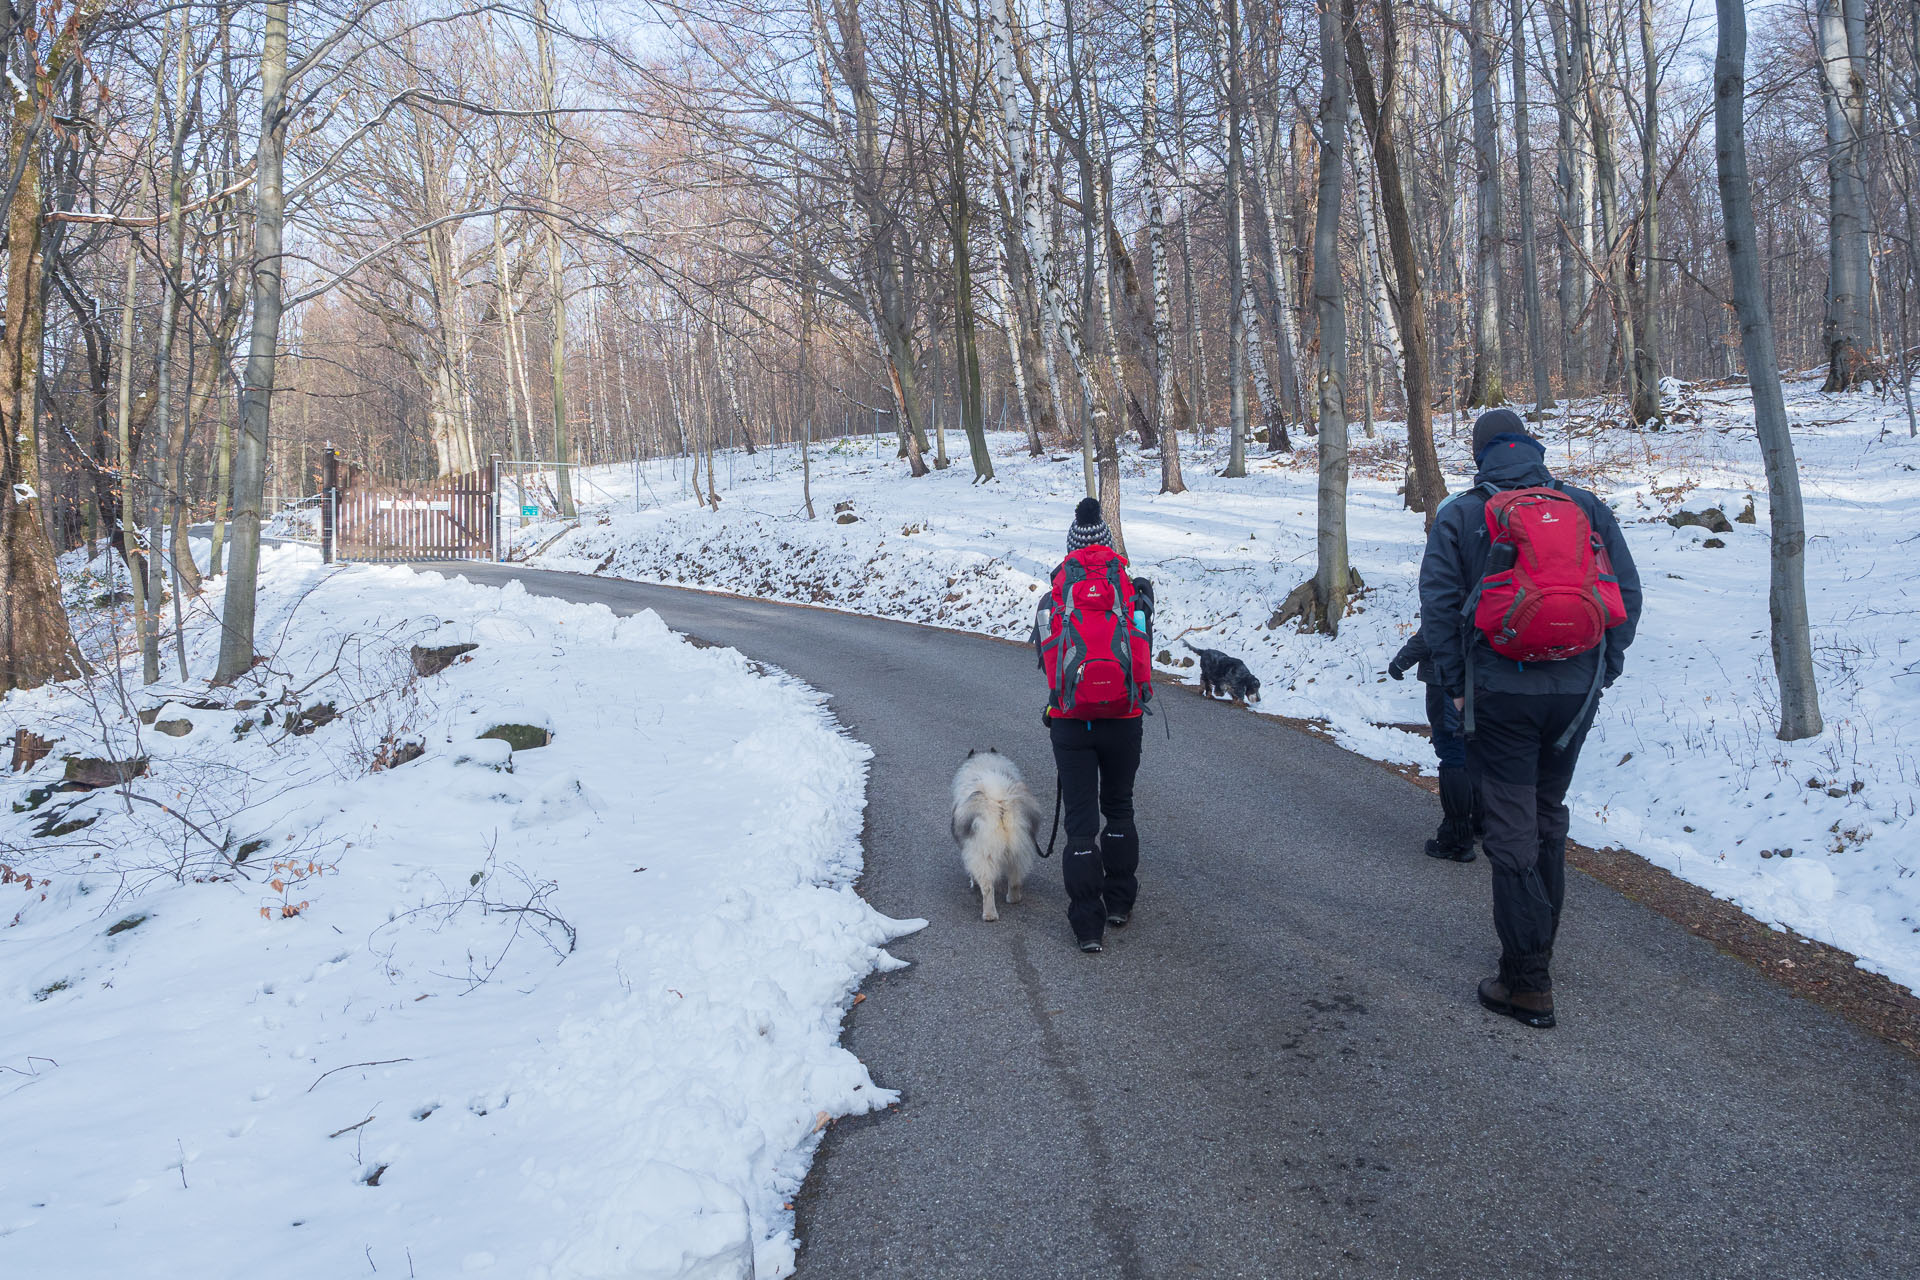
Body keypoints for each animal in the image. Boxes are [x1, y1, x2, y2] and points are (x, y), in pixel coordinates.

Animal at [948, 752, 1044, 921]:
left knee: (987, 888)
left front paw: (972, 882)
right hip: (1019, 849)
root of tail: (999, 801)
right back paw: (1013, 899)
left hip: (983, 854)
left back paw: (989, 915)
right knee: (1015, 879)